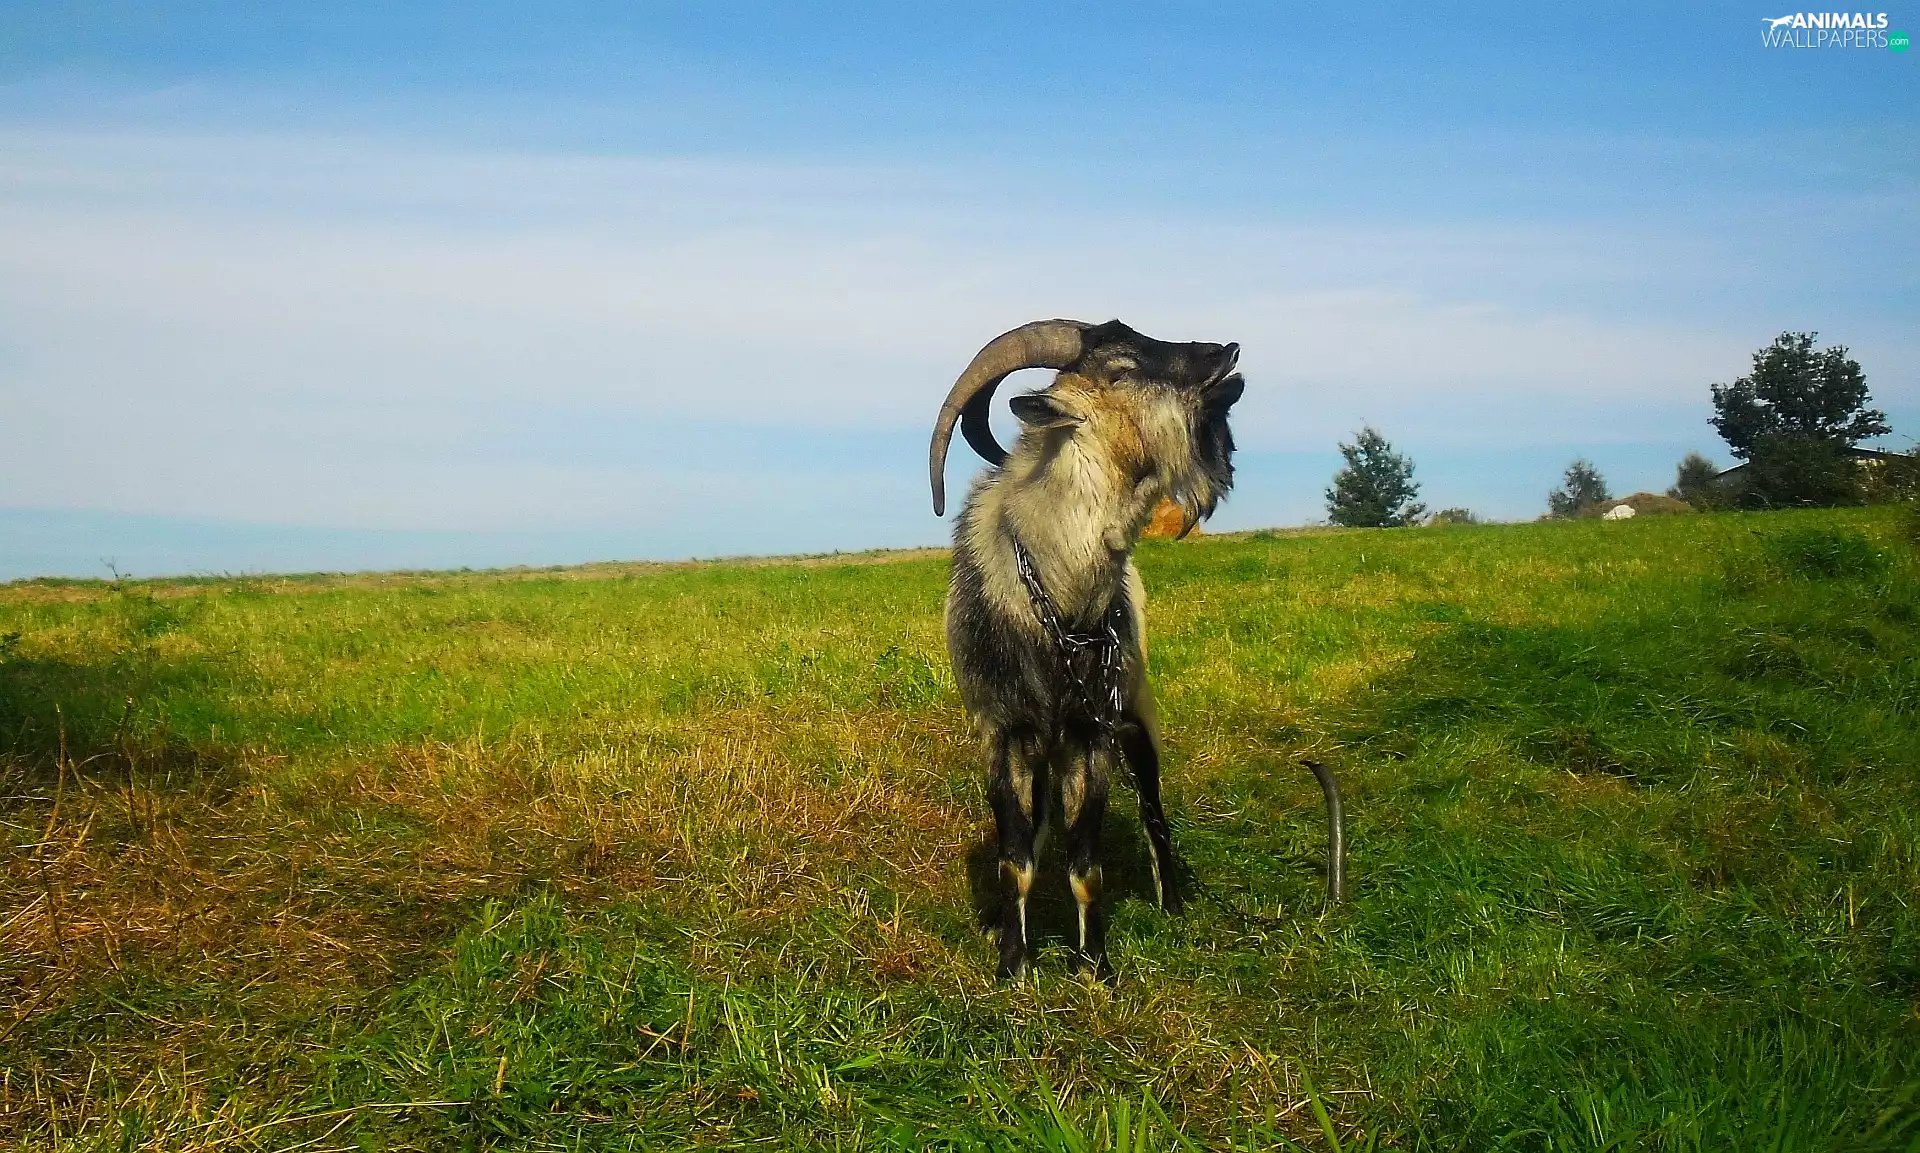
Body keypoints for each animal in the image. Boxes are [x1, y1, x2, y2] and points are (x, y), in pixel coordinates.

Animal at [931, 319, 1345, 982]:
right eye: (1121, 368)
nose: (1225, 353)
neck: (1057, 601)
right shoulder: (1003, 732)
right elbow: (1017, 856)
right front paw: (1013, 962)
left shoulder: (1092, 736)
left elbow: (1086, 864)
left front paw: (1095, 966)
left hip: (1137, 717)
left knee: (1153, 811)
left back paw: (1171, 904)